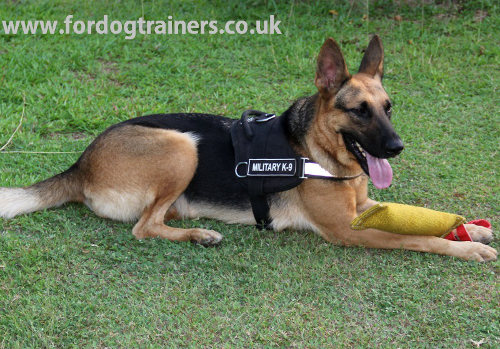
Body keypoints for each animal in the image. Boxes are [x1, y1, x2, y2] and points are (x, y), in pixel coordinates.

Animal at [0, 36, 496, 262]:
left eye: (388, 108)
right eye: (359, 111)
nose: (396, 147)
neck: (315, 149)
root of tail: (80, 164)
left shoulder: (366, 206)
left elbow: (418, 215)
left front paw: (472, 228)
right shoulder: (349, 230)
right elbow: (413, 236)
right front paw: (466, 249)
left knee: (156, 219)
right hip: (183, 146)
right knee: (143, 228)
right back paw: (200, 236)